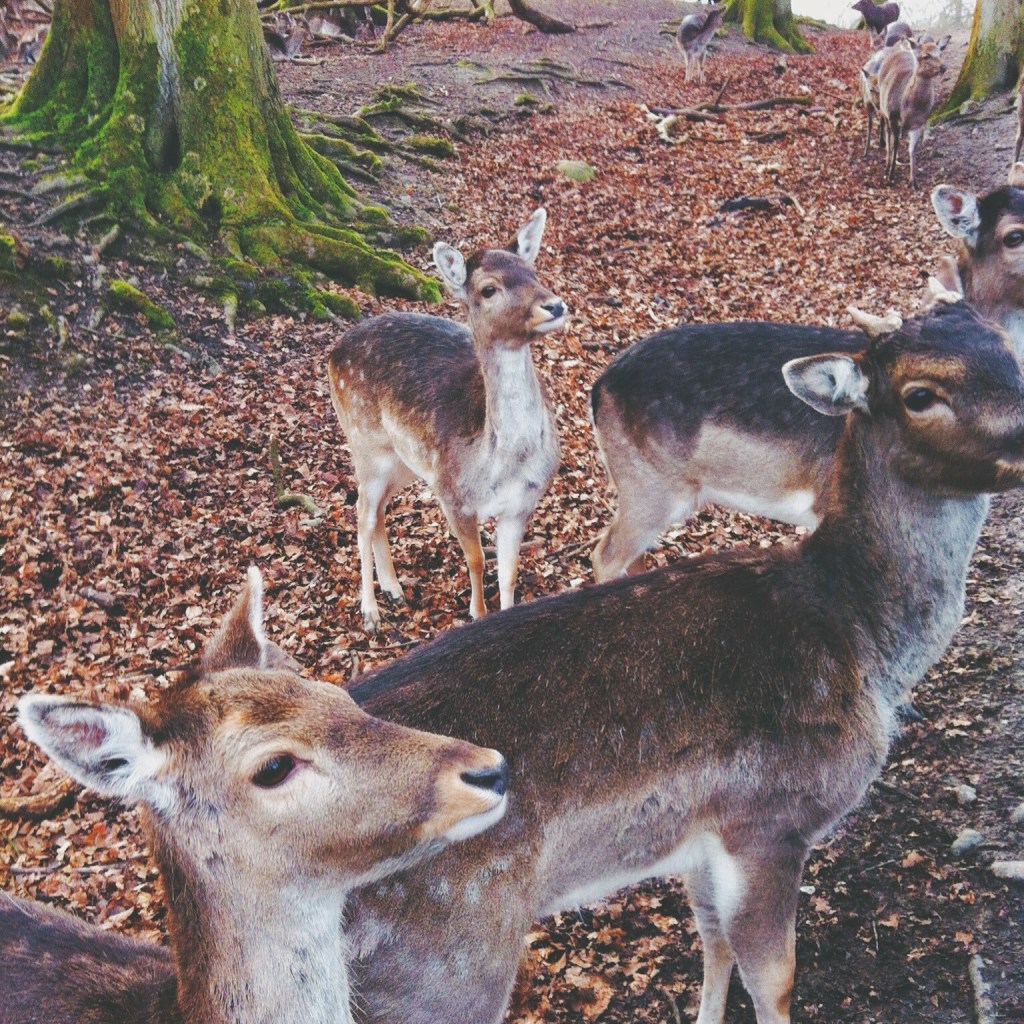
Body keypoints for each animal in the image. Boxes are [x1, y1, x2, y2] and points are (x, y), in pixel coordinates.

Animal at [327, 209, 566, 633]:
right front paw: (476, 614)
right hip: (364, 444)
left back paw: (394, 588)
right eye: (488, 289)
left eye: (533, 271)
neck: (498, 463)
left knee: (379, 510)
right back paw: (370, 611)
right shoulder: (453, 496)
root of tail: (330, 354)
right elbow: (477, 560)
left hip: (405, 462)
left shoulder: (521, 503)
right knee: (361, 513)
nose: (553, 306)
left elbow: (509, 572)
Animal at [335, 298, 1024, 1024]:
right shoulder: (769, 817)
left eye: (1011, 353)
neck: (860, 640)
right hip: (444, 965)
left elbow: (712, 940)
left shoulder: (701, 833)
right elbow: (774, 979)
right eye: (920, 395)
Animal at [877, 36, 950, 188]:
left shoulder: (919, 123)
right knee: (888, 134)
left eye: (940, 53)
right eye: (926, 56)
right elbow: (895, 144)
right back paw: (887, 163)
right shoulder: (893, 117)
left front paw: (913, 182)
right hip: (884, 107)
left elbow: (912, 150)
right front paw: (891, 175)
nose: (943, 67)